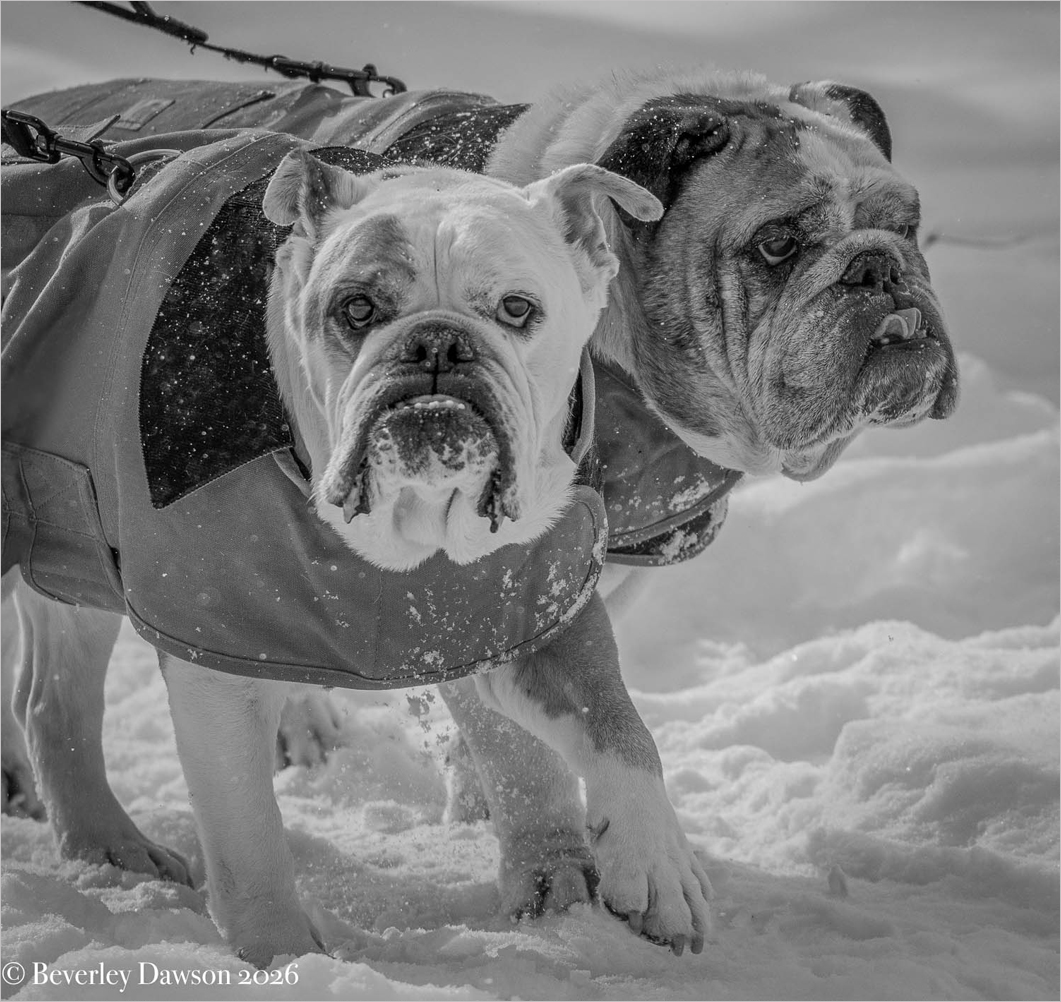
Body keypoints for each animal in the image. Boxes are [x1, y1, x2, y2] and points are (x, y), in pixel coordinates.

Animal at [2, 67, 958, 959]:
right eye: (777, 243)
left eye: (907, 225)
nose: (878, 265)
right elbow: (510, 752)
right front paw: (546, 871)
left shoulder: (542, 586)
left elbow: (610, 725)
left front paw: (635, 858)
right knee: (56, 697)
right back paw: (106, 843)